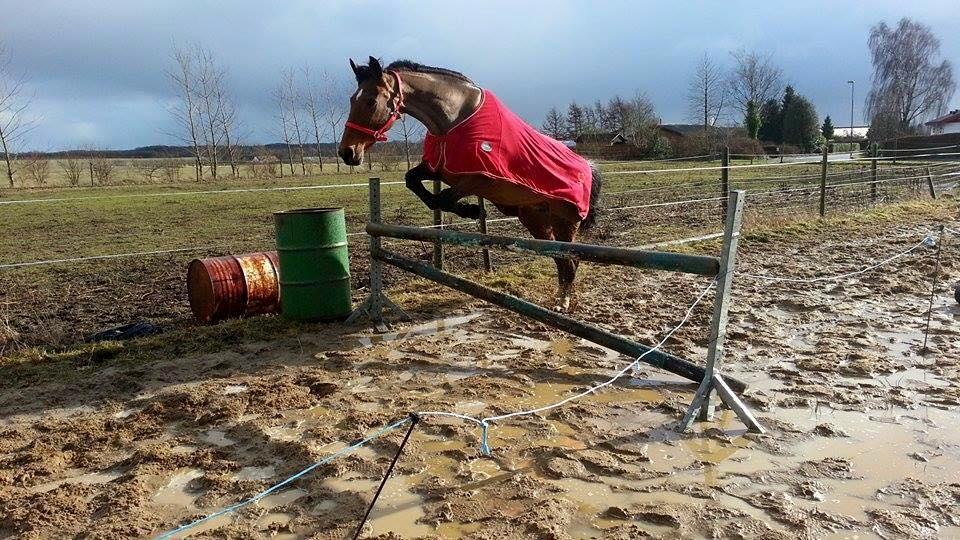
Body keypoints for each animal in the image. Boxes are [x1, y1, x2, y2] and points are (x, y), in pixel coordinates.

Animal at [338, 56, 600, 310]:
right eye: (352, 100)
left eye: (371, 101)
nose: (347, 153)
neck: (454, 120)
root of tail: (588, 168)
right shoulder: (438, 169)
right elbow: (414, 182)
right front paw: (471, 210)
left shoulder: (480, 178)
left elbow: (443, 198)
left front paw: (472, 210)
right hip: (534, 220)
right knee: (560, 258)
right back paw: (560, 299)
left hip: (564, 221)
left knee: (570, 261)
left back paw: (562, 303)